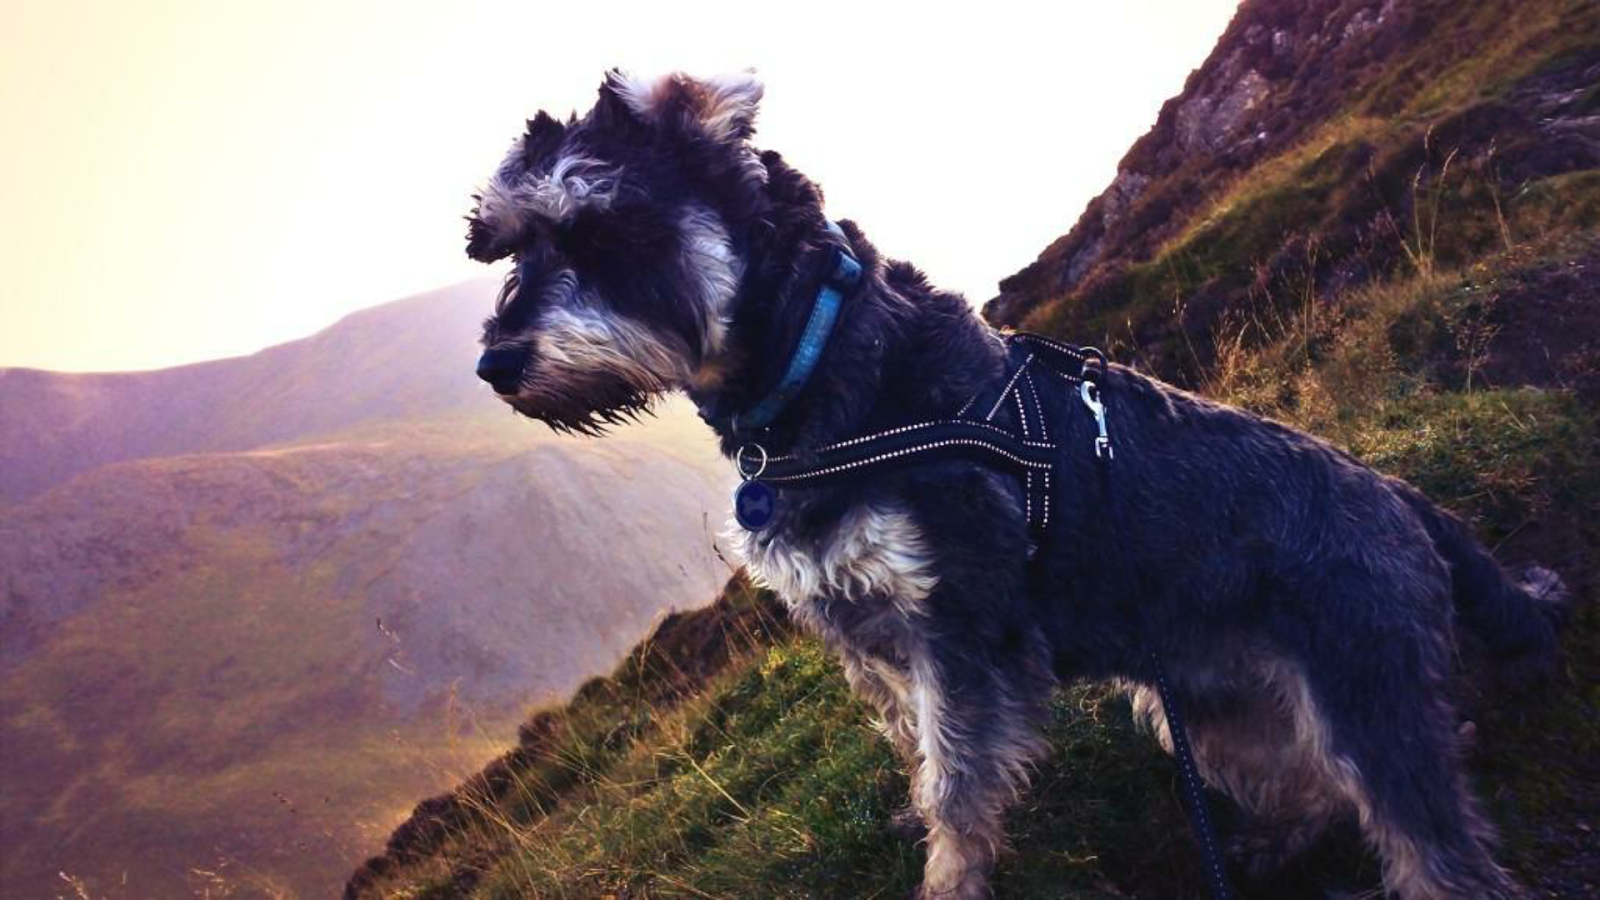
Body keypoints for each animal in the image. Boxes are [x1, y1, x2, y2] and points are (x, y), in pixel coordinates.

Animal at [464, 70, 1568, 899]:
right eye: (505, 244)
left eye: (600, 229)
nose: (497, 365)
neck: (820, 373)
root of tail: (1403, 499)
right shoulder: (862, 629)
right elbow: (917, 750)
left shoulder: (958, 619)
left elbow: (958, 777)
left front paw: (949, 880)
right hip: (1196, 702)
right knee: (1304, 780)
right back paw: (1266, 844)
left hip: (1362, 687)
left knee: (1432, 842)